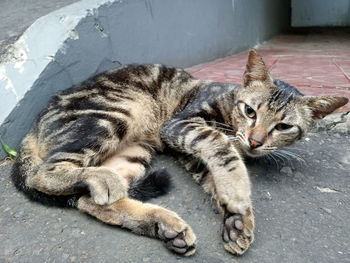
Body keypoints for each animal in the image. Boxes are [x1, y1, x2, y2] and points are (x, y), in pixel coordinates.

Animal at [10, 49, 348, 256]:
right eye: (250, 111)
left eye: (284, 126)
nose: (255, 141)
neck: (229, 99)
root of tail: (32, 127)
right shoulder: (180, 125)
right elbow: (222, 147)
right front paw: (239, 194)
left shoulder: (190, 153)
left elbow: (215, 178)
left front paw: (238, 220)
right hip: (116, 113)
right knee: (45, 173)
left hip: (133, 151)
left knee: (89, 201)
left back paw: (165, 226)